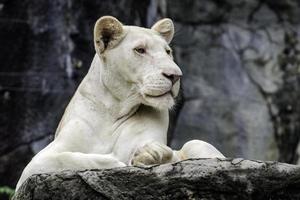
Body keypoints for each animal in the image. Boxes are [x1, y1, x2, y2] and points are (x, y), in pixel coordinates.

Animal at [15, 16, 224, 190]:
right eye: (140, 50)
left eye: (167, 52)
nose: (175, 76)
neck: (113, 110)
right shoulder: (33, 166)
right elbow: (64, 158)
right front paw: (114, 161)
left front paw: (151, 154)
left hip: (197, 144)